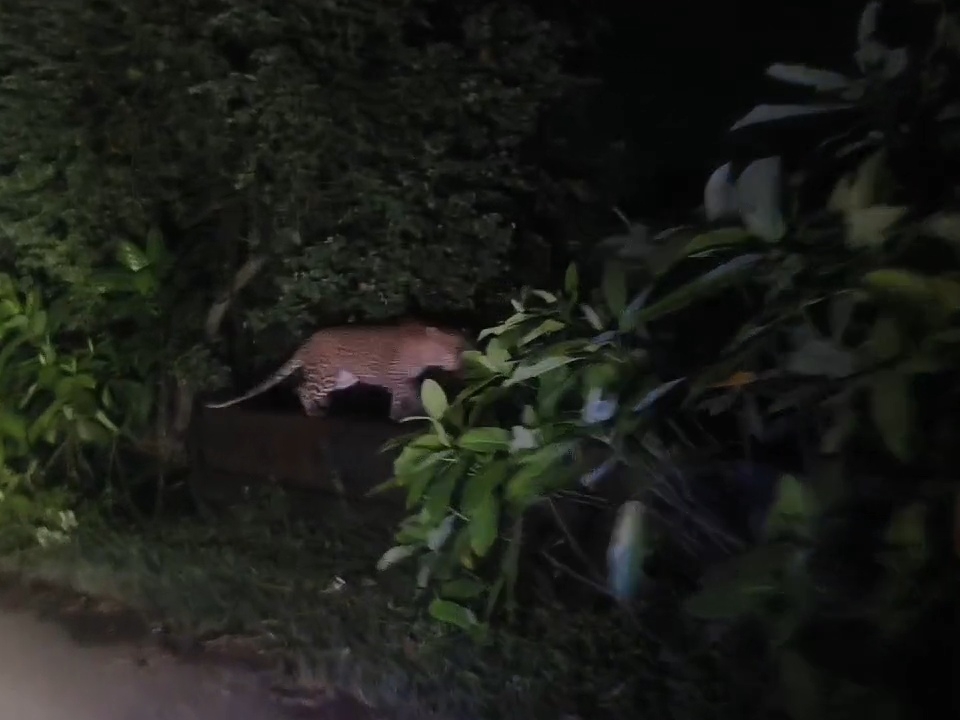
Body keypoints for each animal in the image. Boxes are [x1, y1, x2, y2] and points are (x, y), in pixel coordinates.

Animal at [205, 321, 468, 421]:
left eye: (462, 350)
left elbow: (402, 396)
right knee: (302, 389)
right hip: (326, 375)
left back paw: (322, 405)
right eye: (455, 349)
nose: (460, 365)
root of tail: (309, 339)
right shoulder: (397, 378)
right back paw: (313, 411)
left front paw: (398, 414)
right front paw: (415, 413)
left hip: (344, 378)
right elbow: (409, 395)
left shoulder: (400, 381)